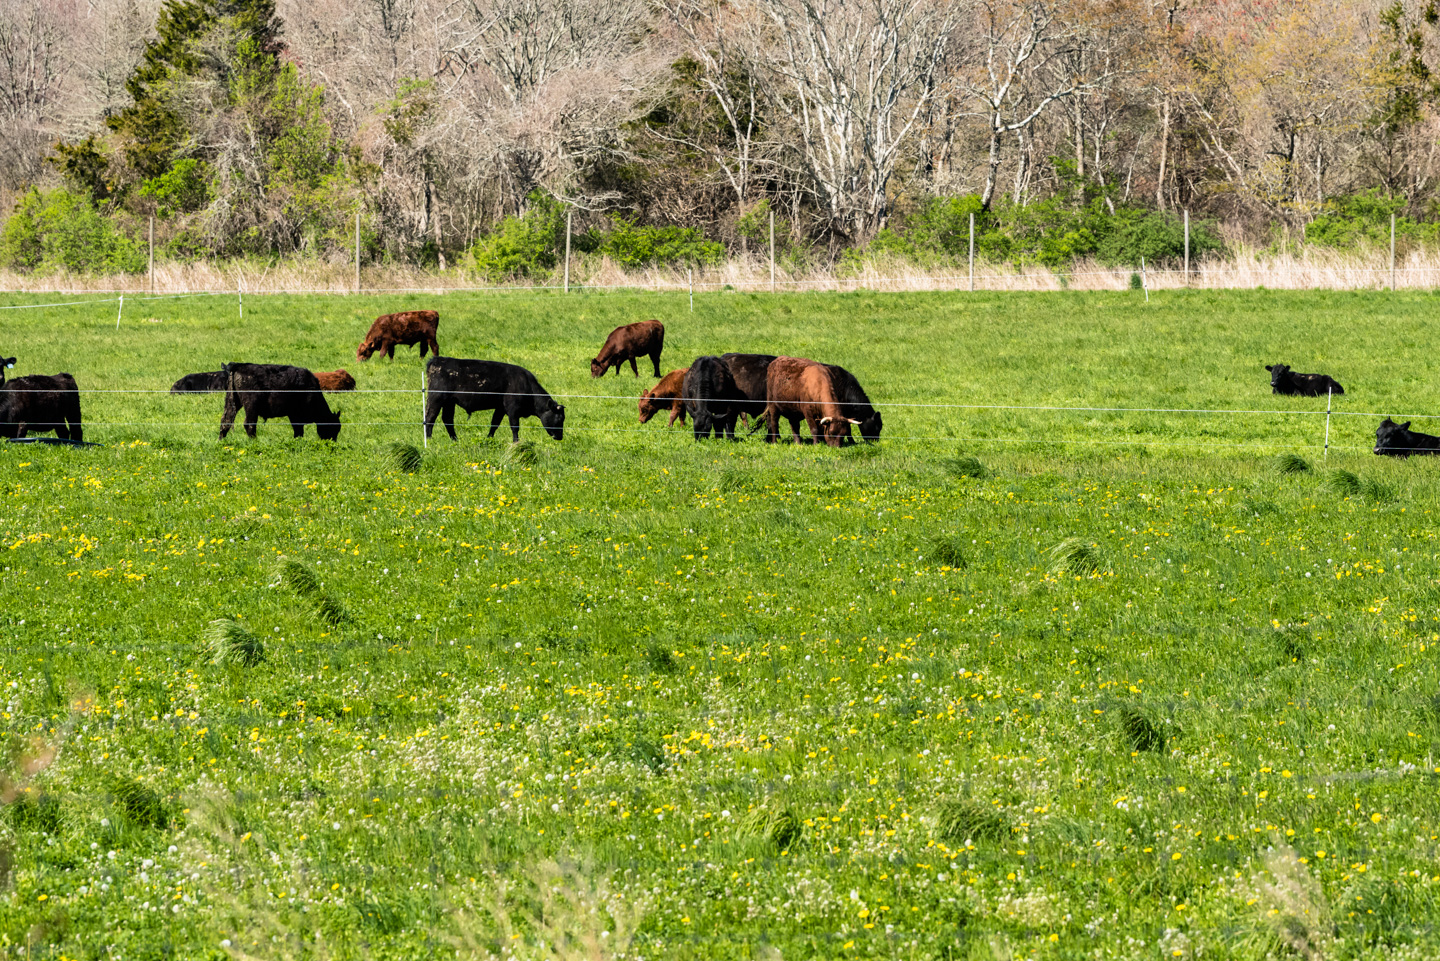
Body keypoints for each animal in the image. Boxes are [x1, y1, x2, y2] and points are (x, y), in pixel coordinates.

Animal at [425, 357, 565, 443]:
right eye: (559, 418)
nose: (560, 437)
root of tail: (437, 360)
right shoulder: (513, 410)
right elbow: (515, 427)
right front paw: (516, 442)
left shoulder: (500, 408)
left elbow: (494, 424)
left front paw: (489, 439)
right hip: (436, 398)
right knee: (430, 418)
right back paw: (429, 440)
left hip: (449, 402)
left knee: (448, 419)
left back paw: (455, 440)